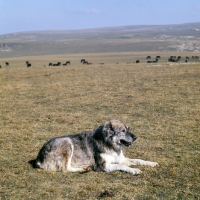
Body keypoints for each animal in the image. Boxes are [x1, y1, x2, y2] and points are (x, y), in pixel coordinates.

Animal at [29, 119, 158, 174]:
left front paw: (152, 163)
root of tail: (39, 157)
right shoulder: (103, 166)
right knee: (65, 169)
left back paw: (86, 167)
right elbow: (122, 166)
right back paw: (83, 169)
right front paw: (134, 170)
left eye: (128, 128)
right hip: (67, 142)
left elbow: (139, 160)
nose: (136, 137)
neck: (111, 146)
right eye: (123, 131)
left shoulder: (122, 159)